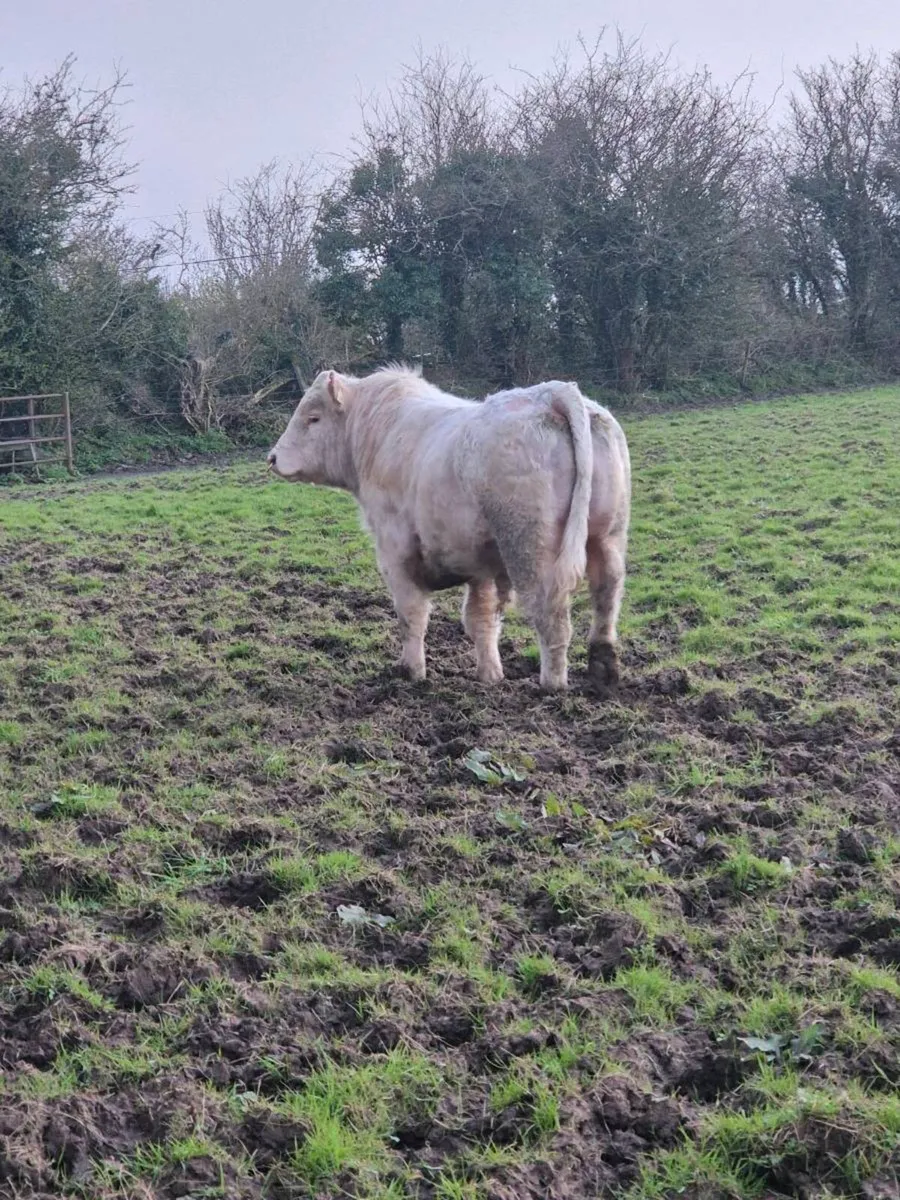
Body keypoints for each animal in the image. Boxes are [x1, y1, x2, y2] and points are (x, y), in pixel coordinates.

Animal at [267, 365, 631, 692]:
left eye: (313, 418)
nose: (272, 458)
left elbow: (411, 614)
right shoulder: (482, 566)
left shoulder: (395, 551)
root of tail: (551, 393)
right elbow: (481, 619)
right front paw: (490, 676)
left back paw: (551, 685)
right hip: (606, 537)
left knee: (552, 615)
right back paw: (603, 669)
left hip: (533, 550)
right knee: (607, 593)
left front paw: (411, 672)